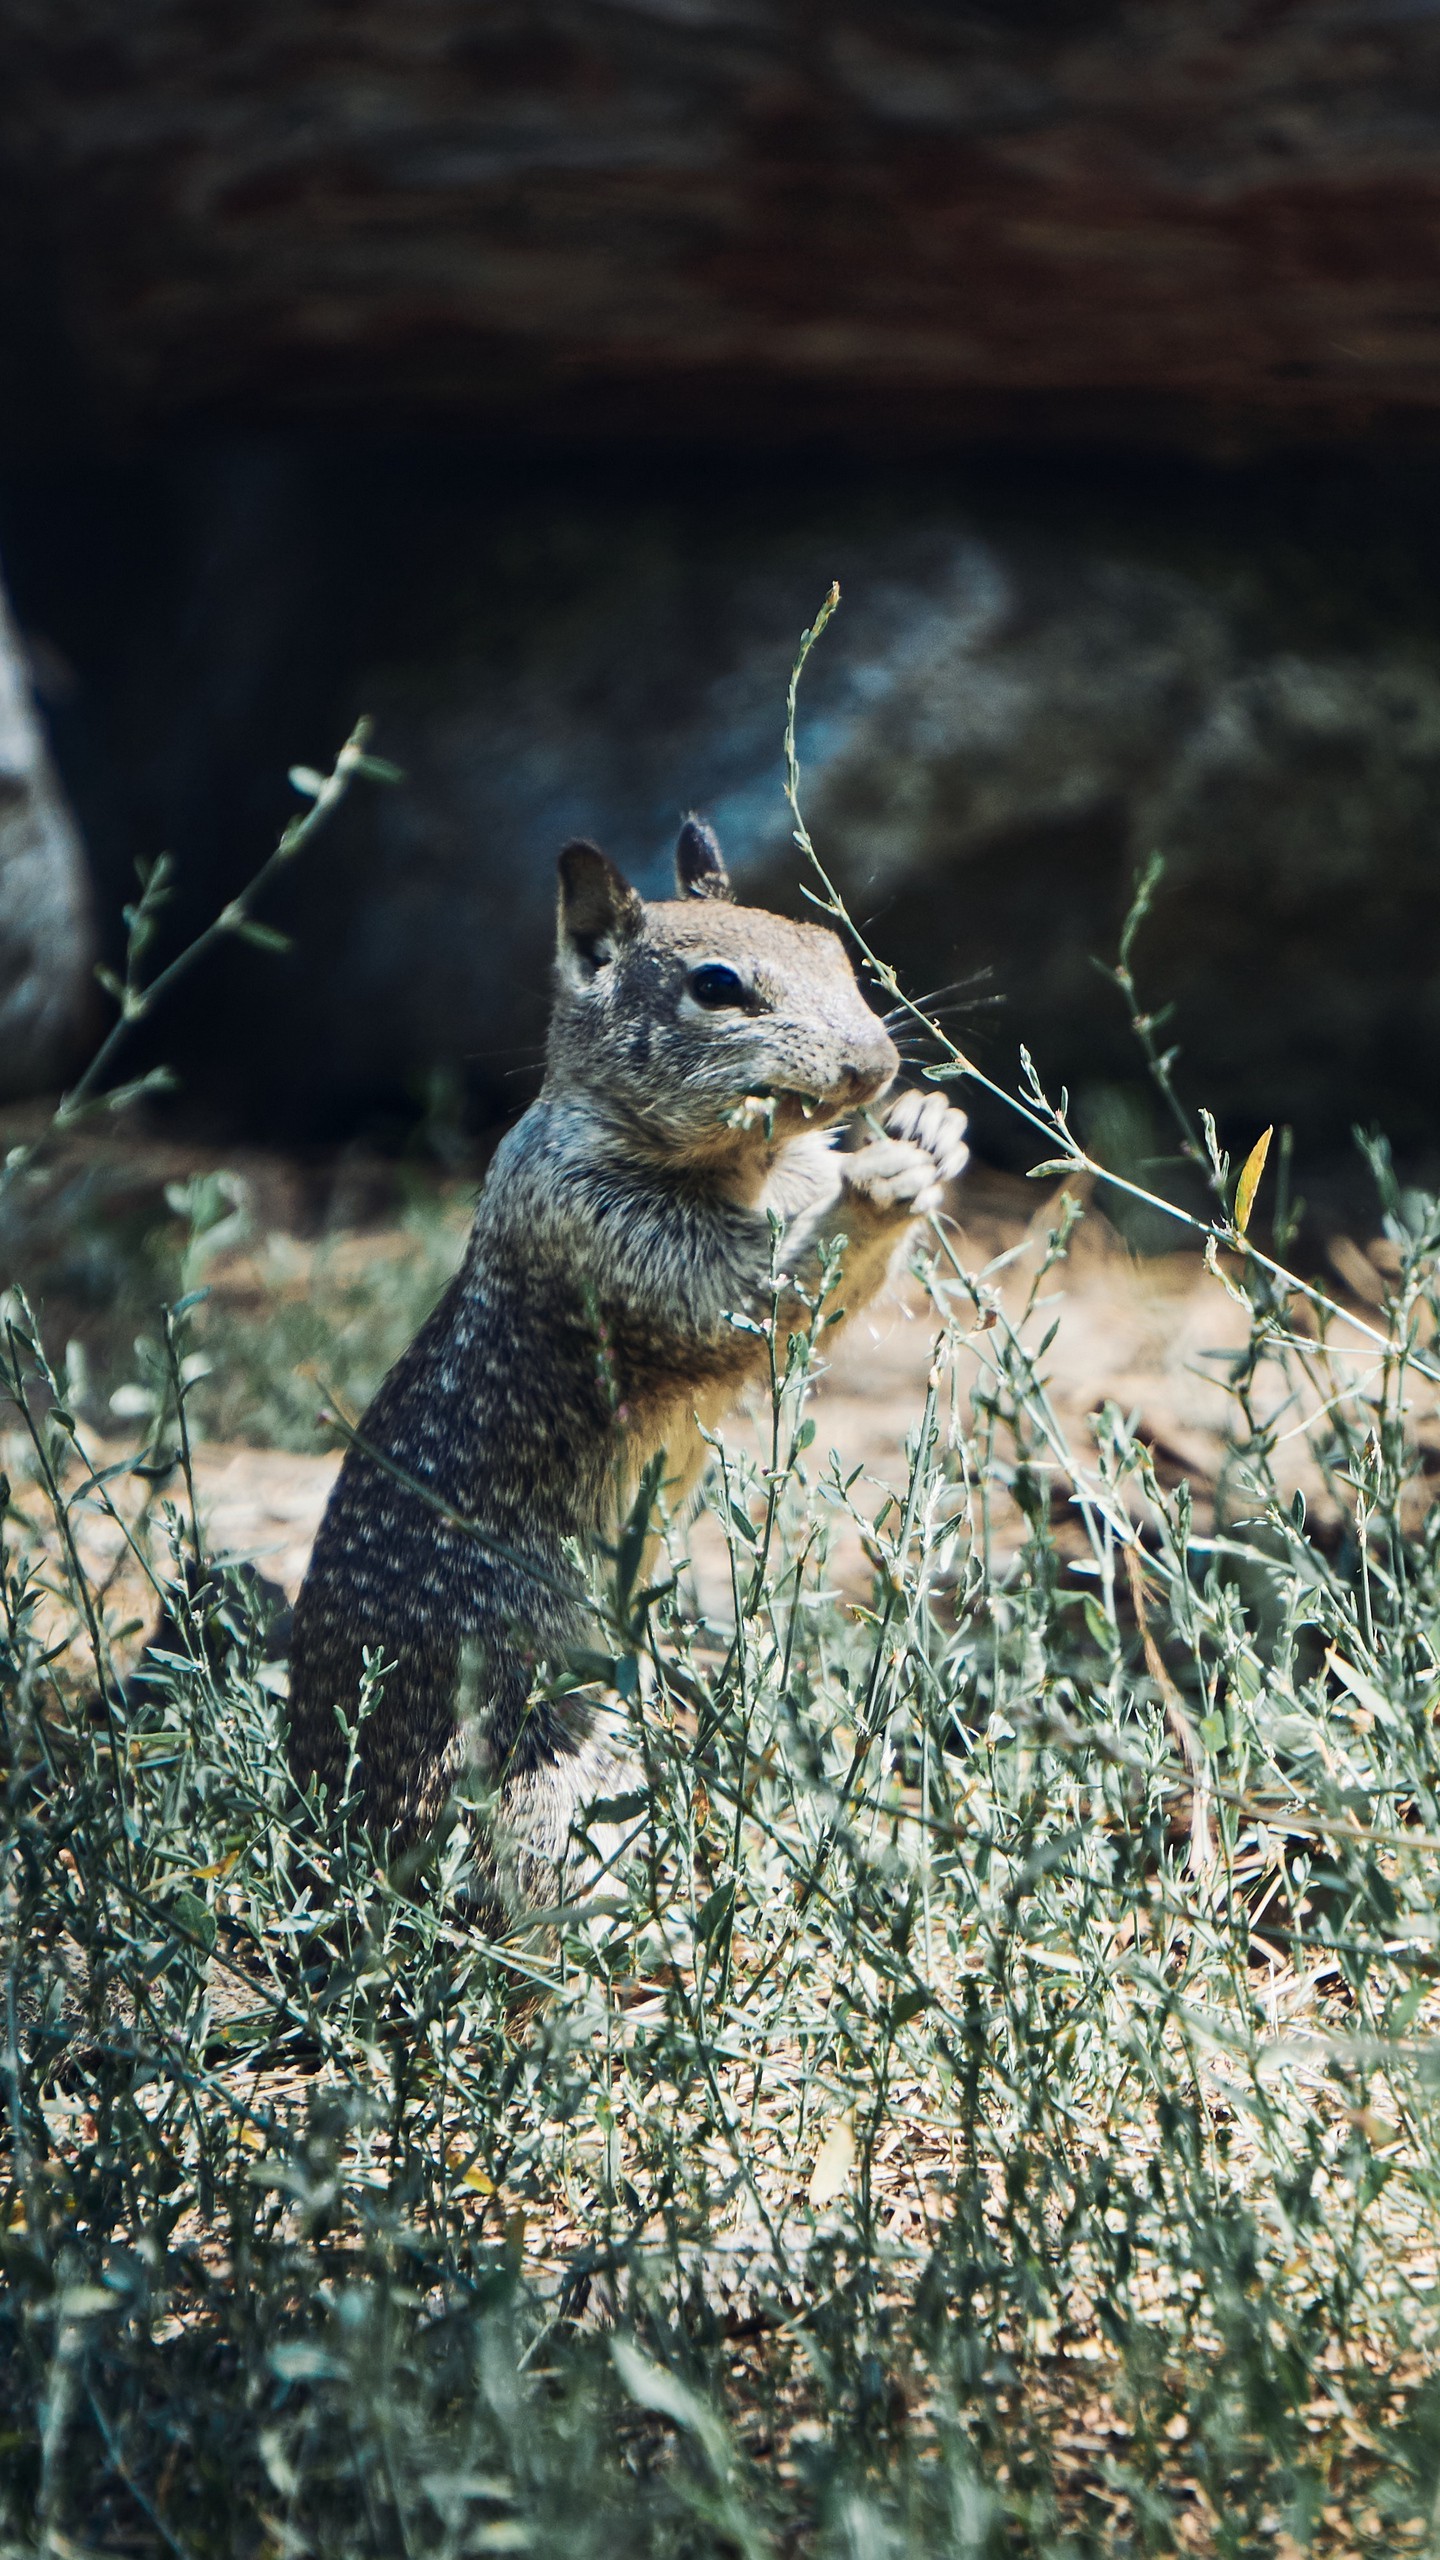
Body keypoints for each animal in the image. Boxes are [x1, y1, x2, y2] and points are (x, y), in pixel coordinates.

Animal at [283, 824, 963, 1925]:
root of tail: (318, 1819)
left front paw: (931, 1130)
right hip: (533, 1760)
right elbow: (747, 1297)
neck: (744, 1169)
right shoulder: (606, 1231)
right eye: (716, 986)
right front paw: (878, 1181)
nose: (877, 1065)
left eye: (831, 947)